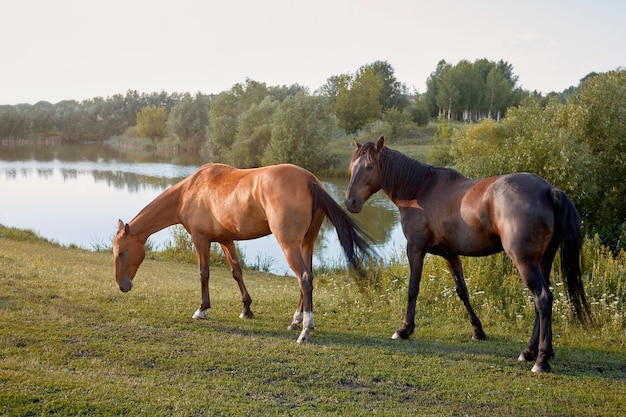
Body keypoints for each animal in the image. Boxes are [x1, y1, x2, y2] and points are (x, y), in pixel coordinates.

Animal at [113, 162, 370, 342]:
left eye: (120, 253)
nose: (122, 286)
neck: (190, 190)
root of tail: (310, 180)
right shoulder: (226, 240)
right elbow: (237, 272)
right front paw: (246, 308)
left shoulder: (200, 239)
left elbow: (203, 273)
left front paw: (201, 310)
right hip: (307, 243)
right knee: (307, 278)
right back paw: (297, 321)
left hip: (289, 245)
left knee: (304, 278)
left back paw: (304, 331)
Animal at [342, 136, 588, 370]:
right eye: (352, 166)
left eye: (369, 167)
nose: (350, 202)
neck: (420, 190)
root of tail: (549, 190)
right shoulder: (451, 254)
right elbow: (463, 291)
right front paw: (478, 331)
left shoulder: (415, 248)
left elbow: (413, 289)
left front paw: (404, 330)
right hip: (543, 263)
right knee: (541, 304)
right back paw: (529, 352)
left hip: (525, 263)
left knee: (543, 299)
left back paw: (541, 360)